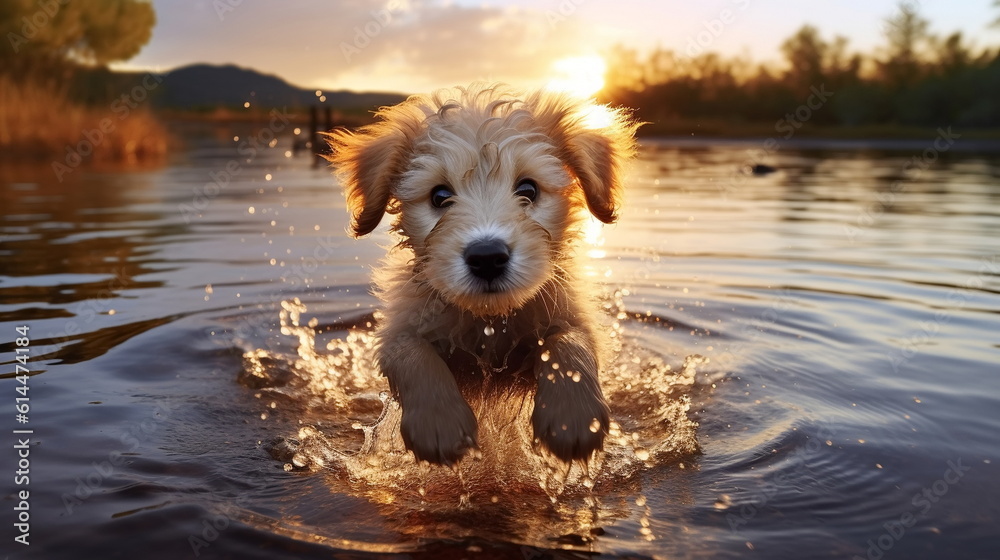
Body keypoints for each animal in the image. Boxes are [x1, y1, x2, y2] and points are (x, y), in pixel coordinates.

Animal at [328, 83, 640, 466]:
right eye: (440, 195)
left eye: (528, 190)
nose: (487, 257)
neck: (490, 321)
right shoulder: (401, 322)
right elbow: (409, 352)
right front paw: (439, 420)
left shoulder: (569, 308)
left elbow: (571, 341)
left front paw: (573, 414)